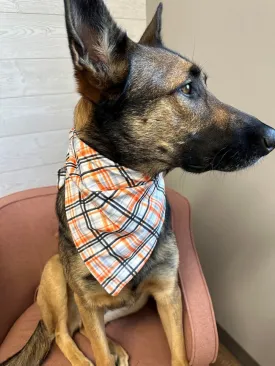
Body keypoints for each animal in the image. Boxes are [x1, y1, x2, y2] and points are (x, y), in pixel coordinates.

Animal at [2, 0, 275, 366]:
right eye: (187, 88)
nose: (273, 137)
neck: (126, 186)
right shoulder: (89, 302)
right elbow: (96, 348)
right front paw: (101, 355)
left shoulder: (168, 294)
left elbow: (179, 355)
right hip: (57, 276)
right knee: (62, 332)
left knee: (80, 328)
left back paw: (115, 346)